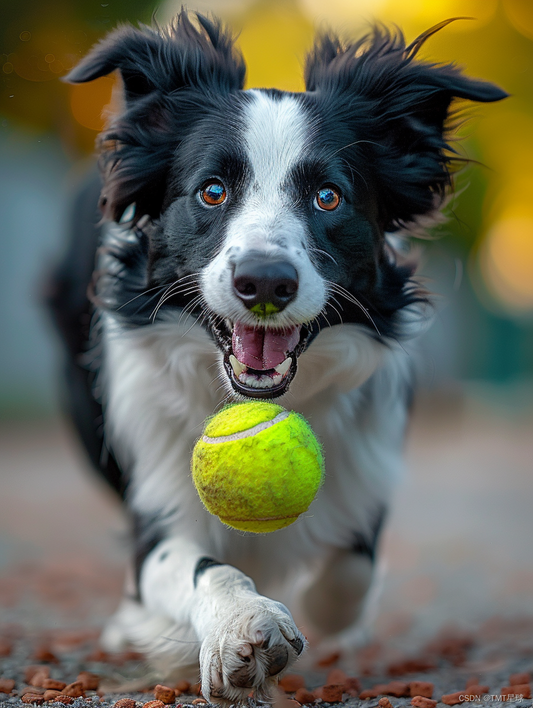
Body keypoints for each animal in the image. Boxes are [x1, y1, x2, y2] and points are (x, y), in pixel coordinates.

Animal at [48, 13, 502, 704]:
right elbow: (191, 563)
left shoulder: (369, 459)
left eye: (328, 197)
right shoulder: (155, 491)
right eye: (211, 192)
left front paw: (322, 611)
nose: (264, 281)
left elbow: (353, 562)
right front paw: (241, 625)